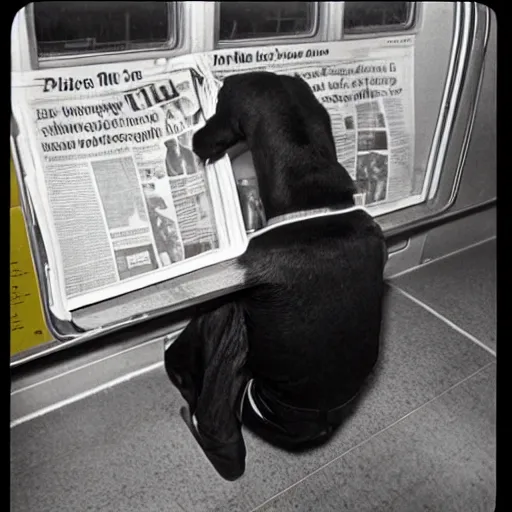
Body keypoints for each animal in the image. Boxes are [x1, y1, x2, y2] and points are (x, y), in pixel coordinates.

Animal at [166, 71, 386, 480]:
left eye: (219, 100)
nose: (192, 141)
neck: (314, 199)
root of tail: (317, 423)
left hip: (230, 341)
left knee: (219, 433)